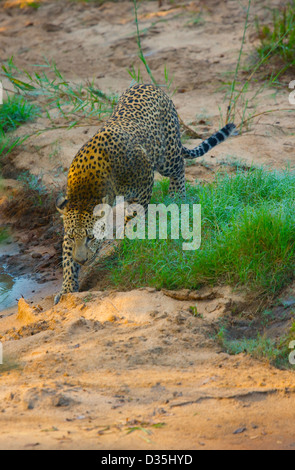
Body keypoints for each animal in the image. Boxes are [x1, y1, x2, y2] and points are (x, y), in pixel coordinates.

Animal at [54, 83, 237, 304]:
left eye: (91, 237)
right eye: (73, 237)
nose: (82, 259)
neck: (85, 189)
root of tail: (150, 85)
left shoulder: (144, 180)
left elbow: (134, 217)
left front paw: (129, 238)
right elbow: (66, 259)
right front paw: (66, 288)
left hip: (166, 156)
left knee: (179, 166)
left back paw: (176, 197)